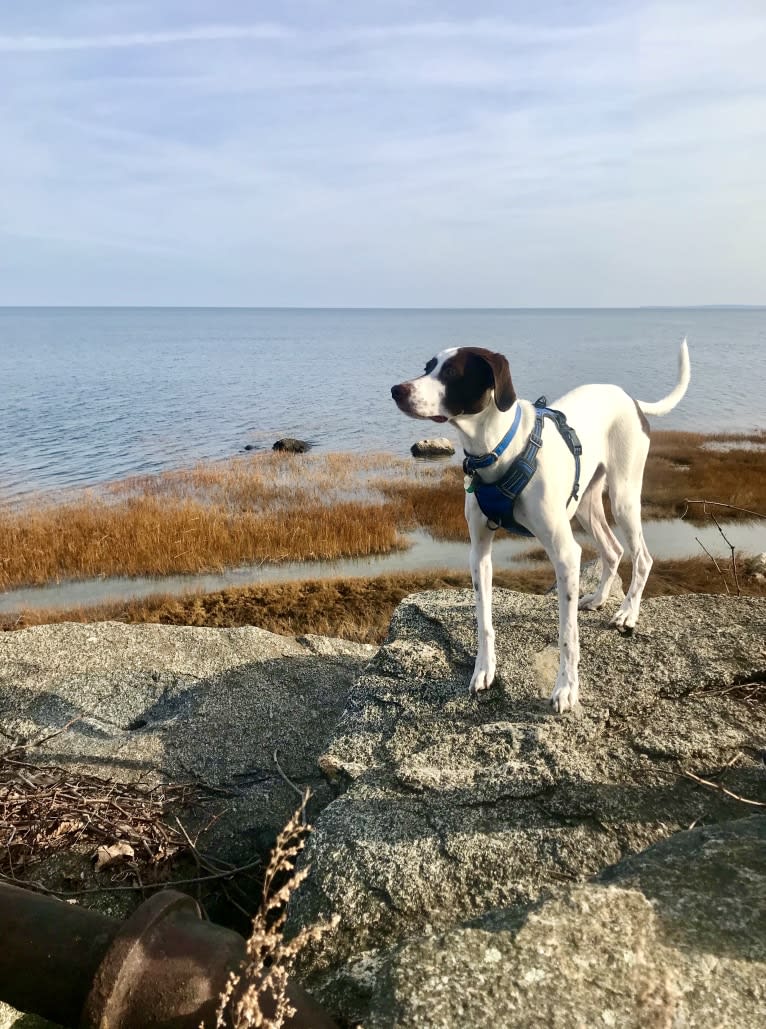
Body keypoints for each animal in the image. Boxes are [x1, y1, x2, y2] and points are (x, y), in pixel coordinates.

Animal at [391, 341, 691, 712]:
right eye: (427, 366)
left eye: (450, 372)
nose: (396, 390)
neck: (498, 450)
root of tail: (629, 398)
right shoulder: (479, 553)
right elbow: (484, 620)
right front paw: (484, 669)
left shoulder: (564, 553)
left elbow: (567, 635)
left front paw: (566, 689)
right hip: (586, 505)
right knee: (612, 549)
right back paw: (598, 598)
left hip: (623, 497)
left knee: (642, 557)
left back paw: (627, 613)